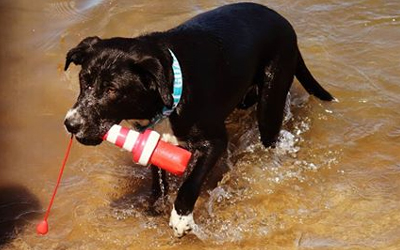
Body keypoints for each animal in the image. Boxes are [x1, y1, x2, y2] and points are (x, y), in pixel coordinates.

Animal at [63, 2, 334, 237]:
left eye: (112, 90)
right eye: (84, 80)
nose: (70, 124)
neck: (170, 92)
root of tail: (284, 23)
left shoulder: (215, 141)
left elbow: (190, 183)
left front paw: (181, 218)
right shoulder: (155, 140)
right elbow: (158, 180)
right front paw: (155, 207)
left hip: (271, 99)